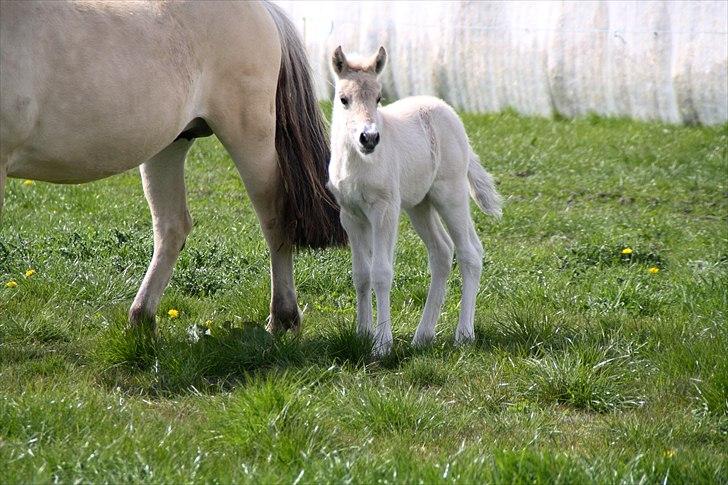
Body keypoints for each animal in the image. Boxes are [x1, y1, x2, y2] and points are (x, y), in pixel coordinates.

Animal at [0, 0, 346, 328]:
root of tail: (264, 10)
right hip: (169, 147)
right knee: (172, 227)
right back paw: (141, 318)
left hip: (250, 138)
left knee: (274, 219)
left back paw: (283, 319)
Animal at [328, 46, 504, 356]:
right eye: (343, 99)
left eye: (379, 98)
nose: (369, 138)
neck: (358, 162)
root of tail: (447, 111)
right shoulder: (350, 215)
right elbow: (361, 274)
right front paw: (362, 333)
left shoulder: (384, 210)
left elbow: (381, 272)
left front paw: (382, 345)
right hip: (420, 205)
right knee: (442, 252)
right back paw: (423, 336)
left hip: (451, 194)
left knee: (470, 252)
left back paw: (464, 335)